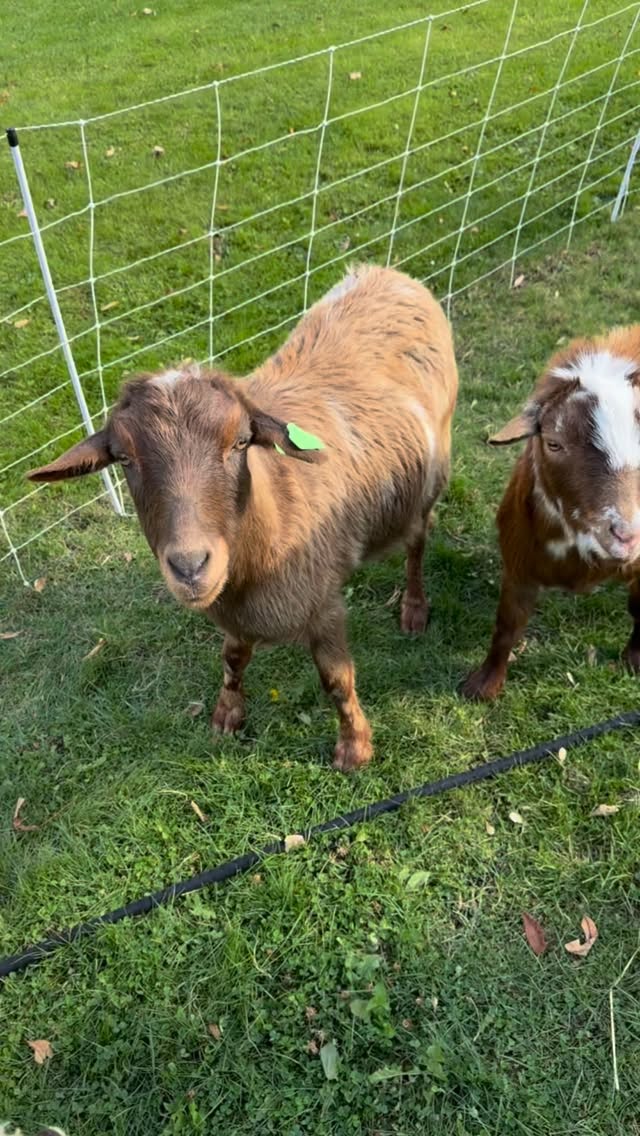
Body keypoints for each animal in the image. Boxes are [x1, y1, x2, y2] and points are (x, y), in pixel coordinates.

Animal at [29, 264, 459, 771]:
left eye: (239, 442)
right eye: (125, 458)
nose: (190, 566)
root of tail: (385, 272)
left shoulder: (323, 602)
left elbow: (337, 679)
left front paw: (354, 746)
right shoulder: (233, 613)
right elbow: (233, 658)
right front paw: (227, 714)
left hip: (432, 473)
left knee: (418, 540)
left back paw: (414, 607)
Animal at [462, 324, 640, 701]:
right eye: (554, 443)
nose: (626, 535)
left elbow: (639, 607)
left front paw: (633, 661)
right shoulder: (519, 563)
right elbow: (507, 624)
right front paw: (483, 686)